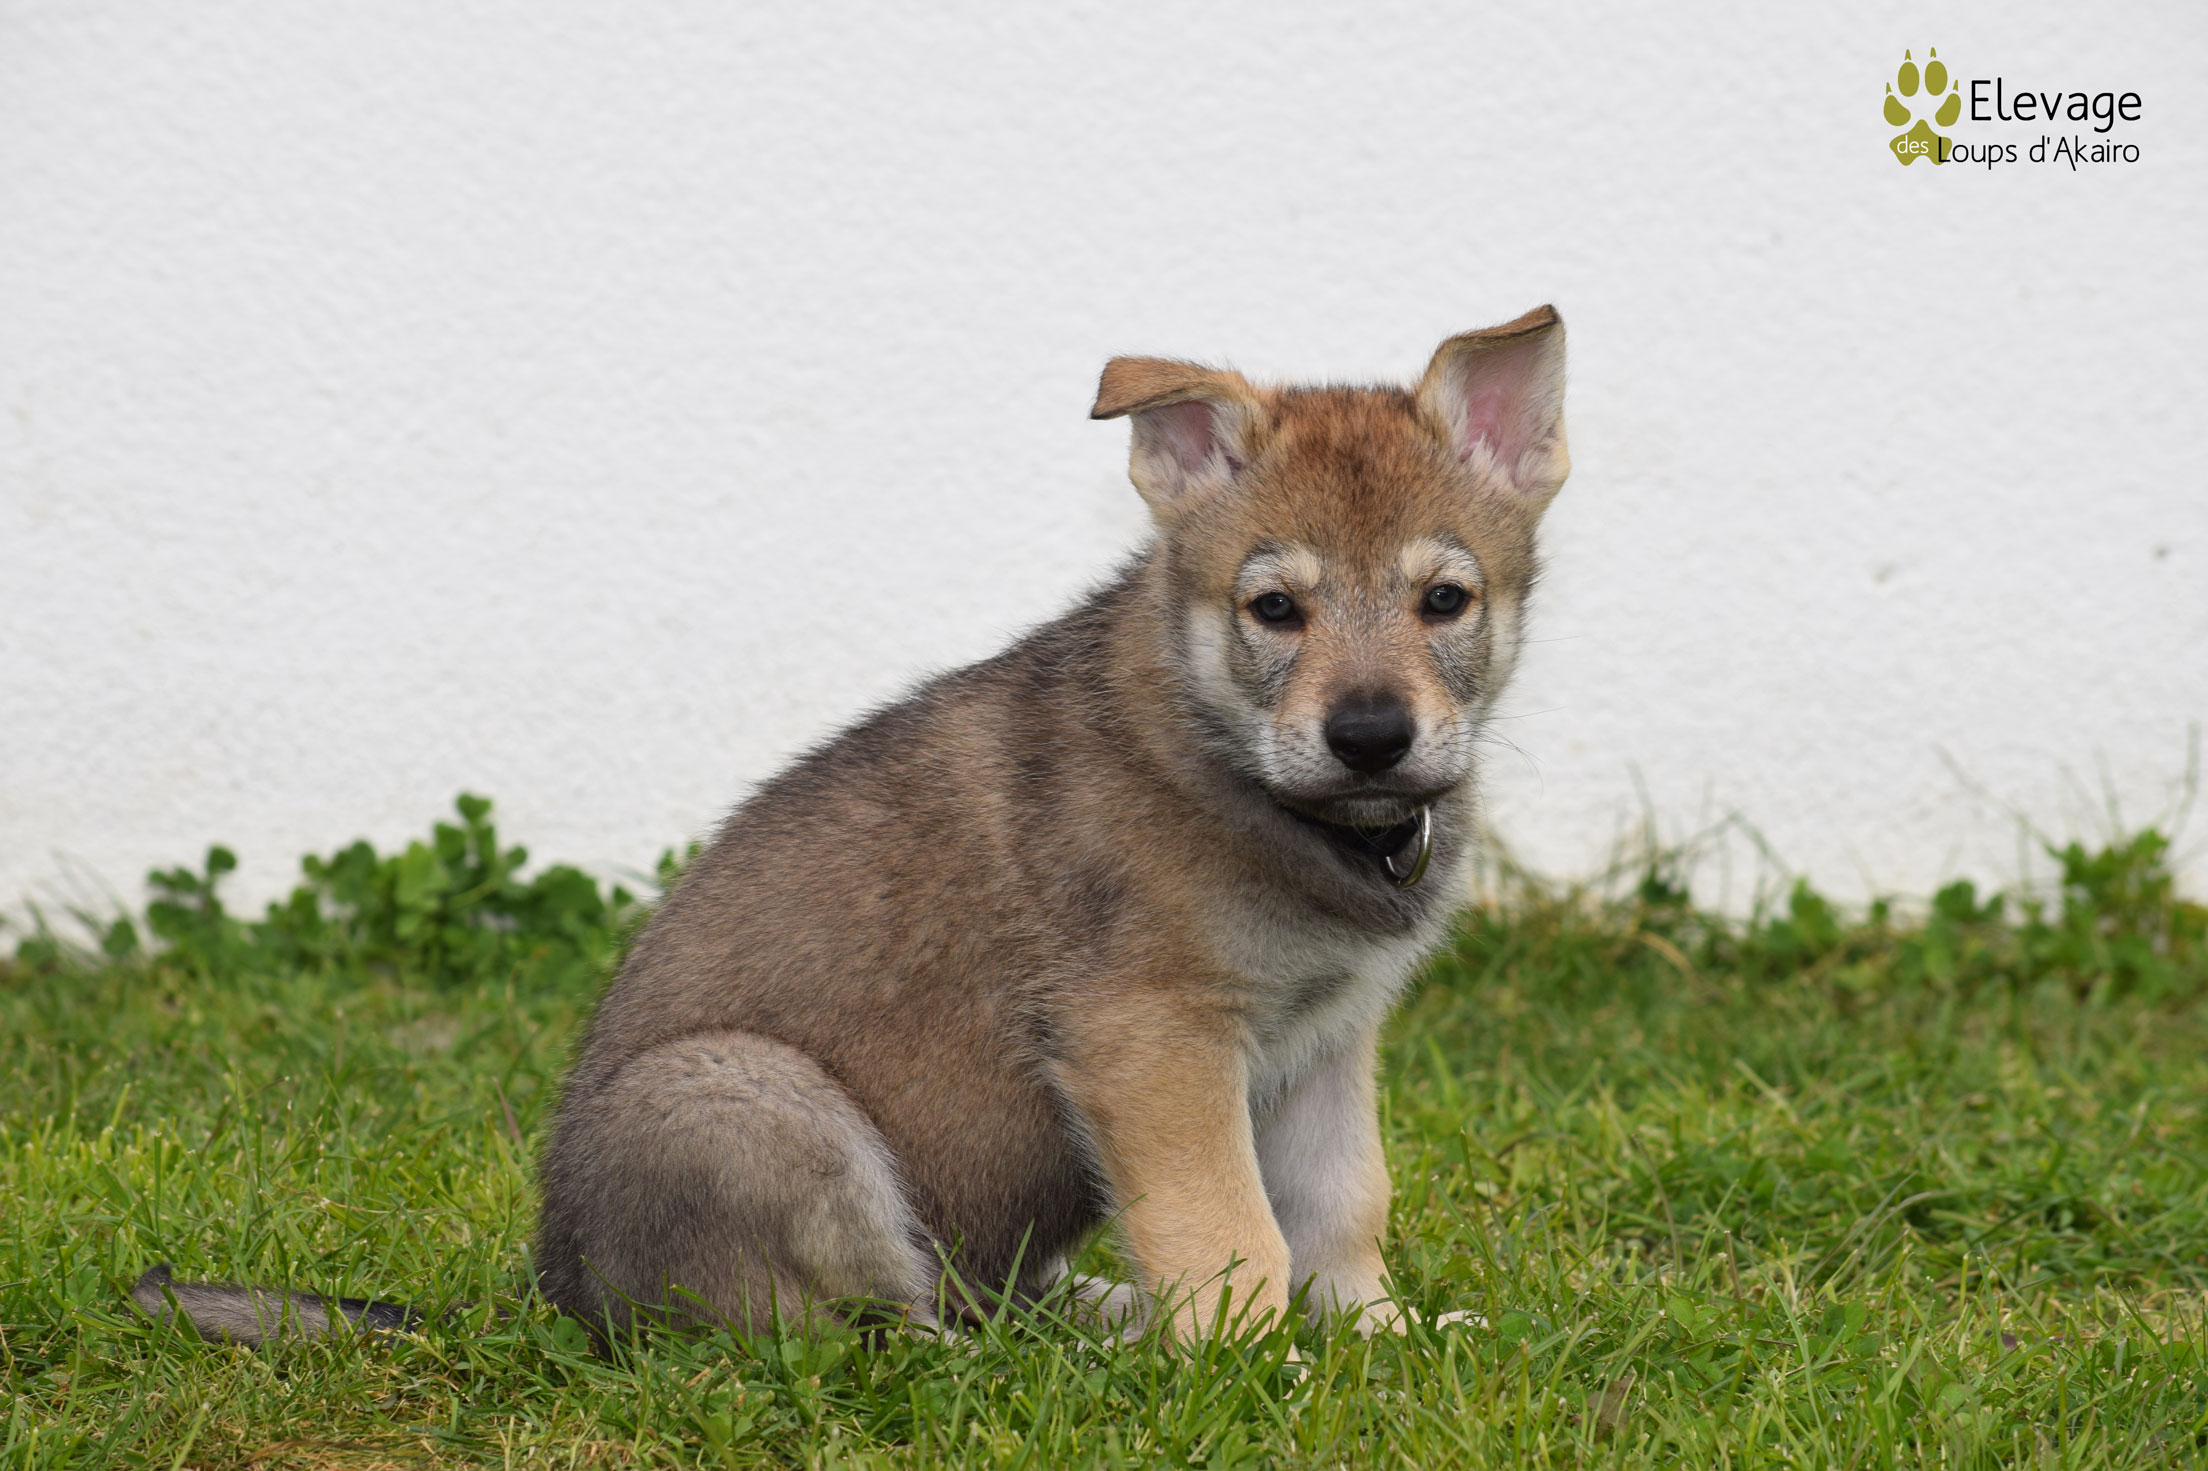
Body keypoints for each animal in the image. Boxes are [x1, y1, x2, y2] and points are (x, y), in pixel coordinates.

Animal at [133, 306, 1569, 1347]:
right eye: (1275, 608)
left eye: (1445, 599)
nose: (1372, 733)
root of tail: (559, 1297)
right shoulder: (1153, 1039)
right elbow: (1229, 1228)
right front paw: (1250, 1365)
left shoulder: (1326, 1041)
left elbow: (1340, 1207)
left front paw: (1381, 1346)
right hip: (750, 1098)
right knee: (852, 1337)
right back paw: (1066, 1354)